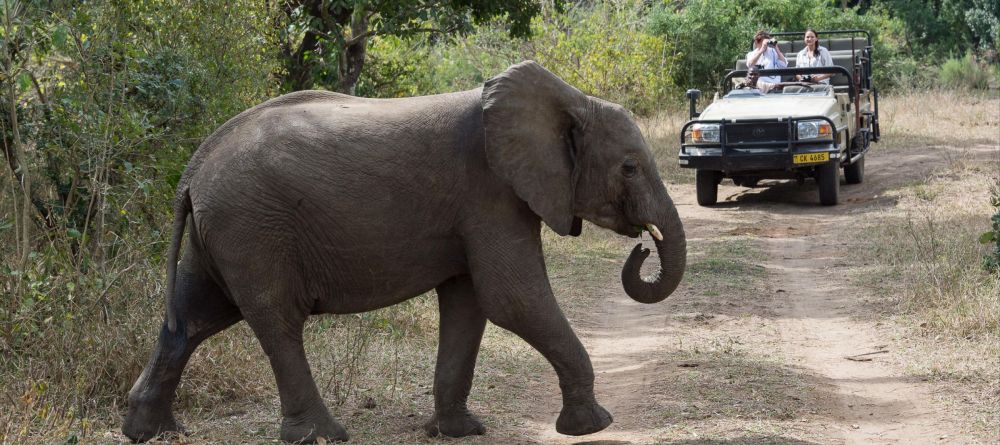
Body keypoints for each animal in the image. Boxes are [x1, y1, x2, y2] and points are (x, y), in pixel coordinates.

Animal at [123, 60, 688, 442]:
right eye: (630, 167)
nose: (642, 246)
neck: (569, 99)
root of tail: (194, 168)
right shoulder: (490, 193)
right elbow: (513, 299)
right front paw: (593, 426)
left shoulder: (475, 208)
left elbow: (470, 304)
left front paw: (460, 431)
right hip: (252, 226)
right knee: (276, 321)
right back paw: (324, 436)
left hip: (221, 231)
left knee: (193, 318)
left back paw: (152, 432)